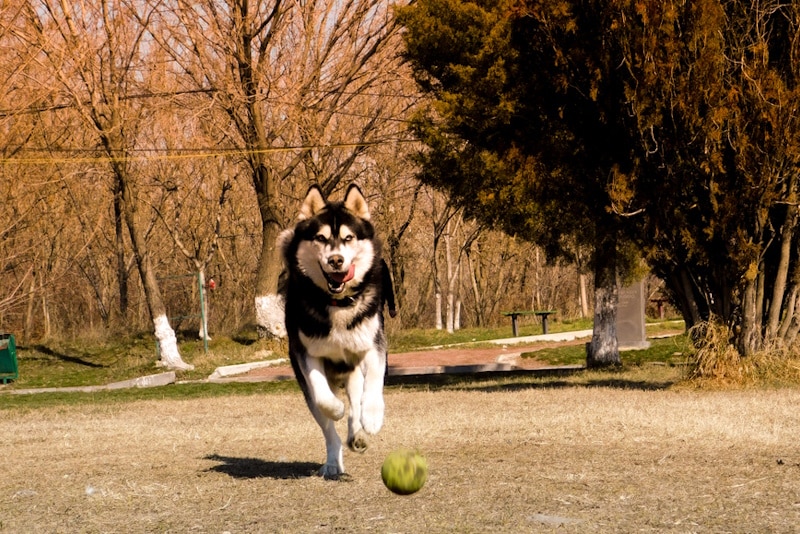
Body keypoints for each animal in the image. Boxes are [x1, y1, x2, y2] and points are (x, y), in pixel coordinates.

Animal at [282, 184, 388, 478]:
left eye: (348, 237)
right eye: (320, 238)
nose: (336, 260)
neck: (336, 304)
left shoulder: (373, 344)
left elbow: (374, 381)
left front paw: (372, 416)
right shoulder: (306, 353)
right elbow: (322, 396)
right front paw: (336, 408)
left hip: (353, 371)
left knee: (356, 402)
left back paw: (358, 434)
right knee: (329, 429)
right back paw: (333, 461)